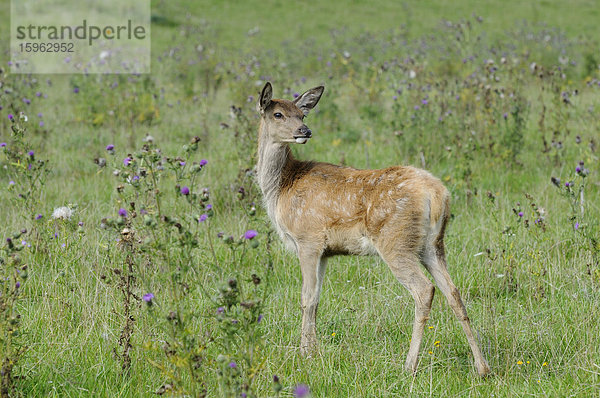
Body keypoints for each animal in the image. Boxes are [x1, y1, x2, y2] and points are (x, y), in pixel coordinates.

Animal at [255, 81, 490, 376]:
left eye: (301, 114)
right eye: (278, 114)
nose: (304, 131)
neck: (282, 187)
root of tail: (438, 195)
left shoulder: (307, 238)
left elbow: (306, 299)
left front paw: (305, 354)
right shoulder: (324, 251)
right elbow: (317, 299)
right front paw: (313, 351)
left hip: (395, 240)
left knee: (425, 290)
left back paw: (409, 365)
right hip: (433, 244)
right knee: (454, 292)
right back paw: (482, 367)